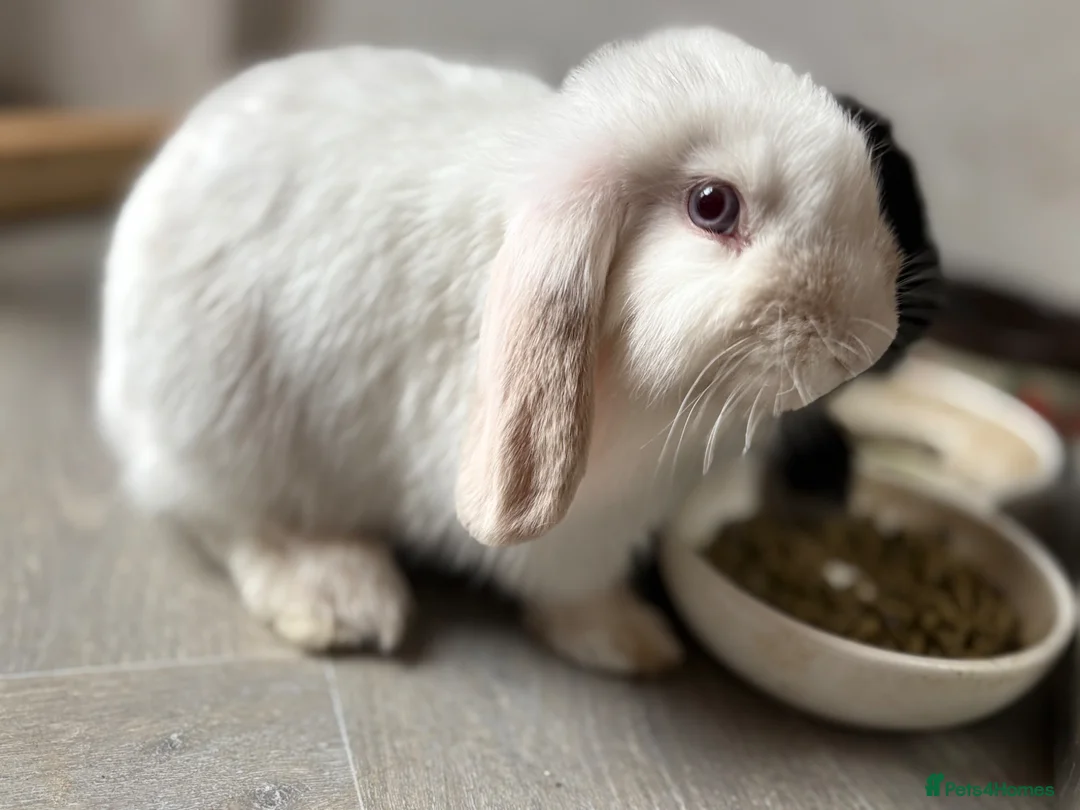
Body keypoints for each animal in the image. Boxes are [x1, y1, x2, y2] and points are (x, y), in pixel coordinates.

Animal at [96, 26, 908, 676]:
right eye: (712, 206)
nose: (863, 342)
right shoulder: (578, 531)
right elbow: (574, 586)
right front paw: (635, 642)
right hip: (229, 433)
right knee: (229, 521)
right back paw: (340, 598)